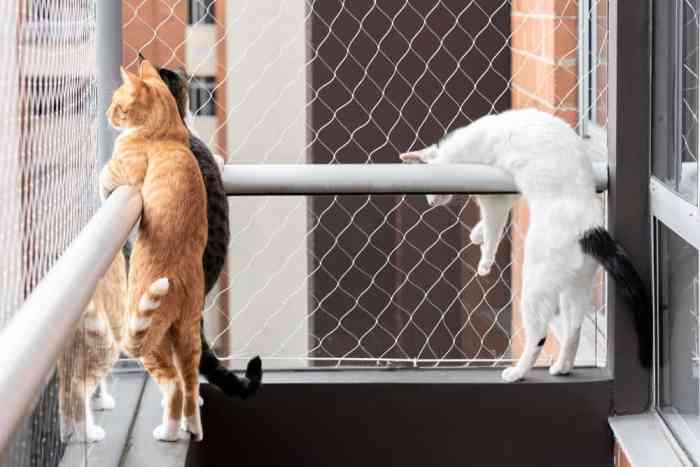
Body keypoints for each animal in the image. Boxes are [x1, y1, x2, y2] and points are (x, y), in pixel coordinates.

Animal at [58, 254, 126, 444]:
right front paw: (104, 400)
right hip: (106, 347)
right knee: (77, 389)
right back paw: (88, 434)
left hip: (68, 359)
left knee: (64, 393)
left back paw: (65, 432)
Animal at [99, 60, 208, 444]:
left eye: (118, 104)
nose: (107, 114)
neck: (167, 132)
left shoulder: (122, 169)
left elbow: (102, 177)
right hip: (187, 336)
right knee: (190, 384)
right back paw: (192, 427)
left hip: (149, 338)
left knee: (174, 385)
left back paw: (169, 432)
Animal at [400, 108, 652, 382]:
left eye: (429, 187)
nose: (430, 202)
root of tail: (591, 229)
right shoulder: (508, 194)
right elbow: (491, 222)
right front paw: (476, 234)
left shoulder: (495, 199)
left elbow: (494, 228)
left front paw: (485, 260)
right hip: (573, 289)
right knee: (573, 328)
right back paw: (562, 367)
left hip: (535, 286)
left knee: (538, 335)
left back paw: (517, 372)